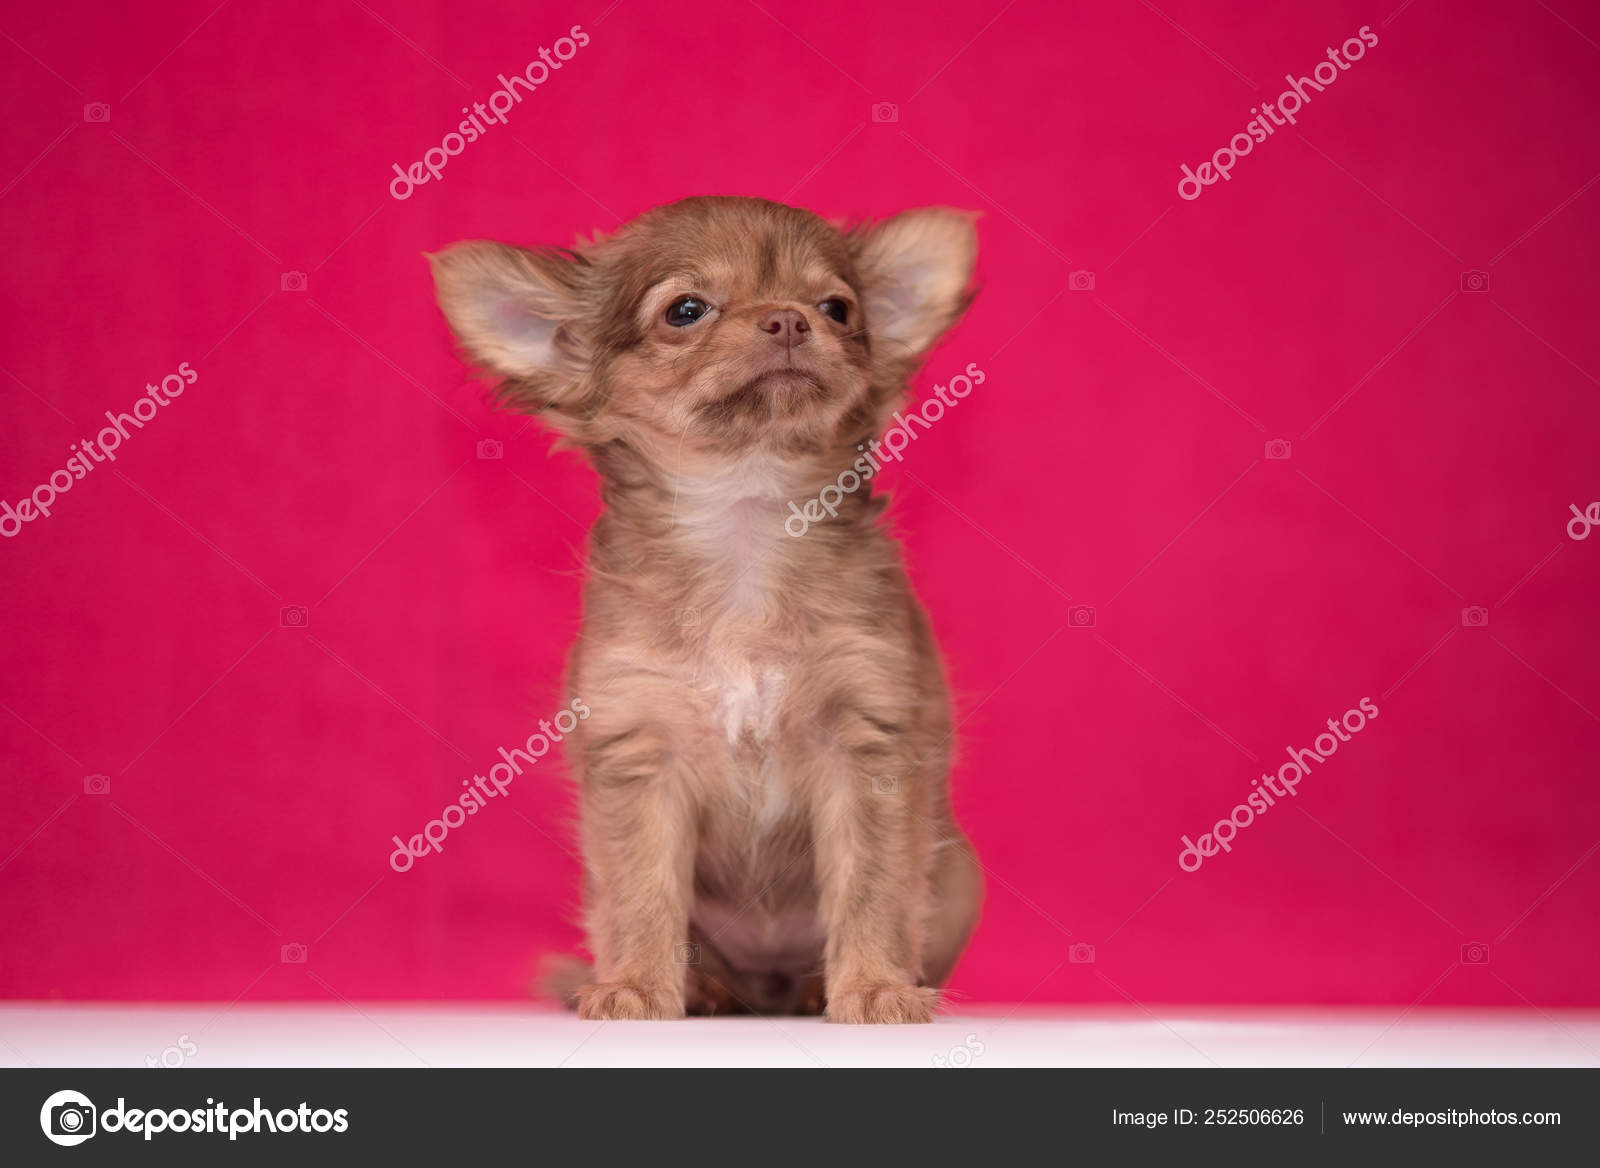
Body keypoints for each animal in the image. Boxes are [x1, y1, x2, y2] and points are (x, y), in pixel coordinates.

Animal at [425, 196, 979, 1017]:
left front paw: (877, 987)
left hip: (959, 877)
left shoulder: (867, 749)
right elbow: (644, 892)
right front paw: (635, 988)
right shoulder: (641, 757)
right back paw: (704, 988)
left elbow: (871, 888)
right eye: (685, 310)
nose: (788, 319)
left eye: (838, 309)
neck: (745, 517)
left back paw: (814, 989)